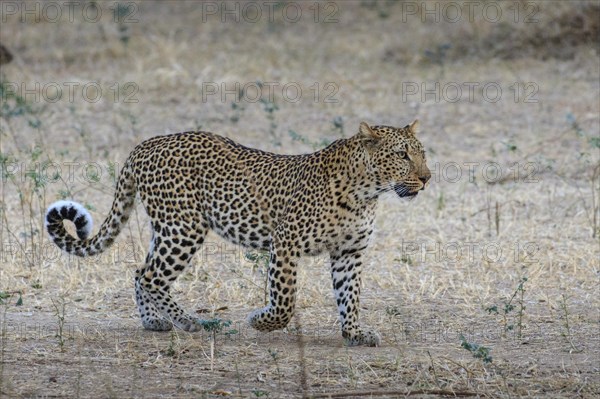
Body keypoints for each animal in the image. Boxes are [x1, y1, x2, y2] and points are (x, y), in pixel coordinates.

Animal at [47, 121, 432, 346]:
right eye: (402, 155)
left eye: (422, 154)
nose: (427, 178)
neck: (367, 192)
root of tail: (146, 144)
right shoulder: (286, 243)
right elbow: (285, 301)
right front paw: (260, 321)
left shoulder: (349, 252)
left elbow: (349, 295)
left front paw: (354, 332)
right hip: (184, 228)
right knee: (151, 276)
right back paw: (191, 321)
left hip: (168, 228)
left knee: (140, 271)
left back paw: (154, 321)